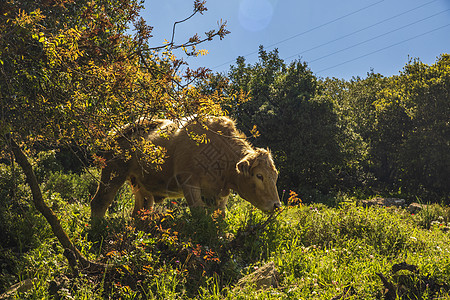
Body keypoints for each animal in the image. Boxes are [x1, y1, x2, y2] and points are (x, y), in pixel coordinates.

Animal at [90, 115, 282, 218]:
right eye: (259, 175)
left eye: (275, 176)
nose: (276, 205)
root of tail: (116, 132)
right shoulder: (189, 184)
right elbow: (198, 215)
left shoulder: (220, 194)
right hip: (113, 172)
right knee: (100, 202)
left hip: (140, 185)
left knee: (140, 211)